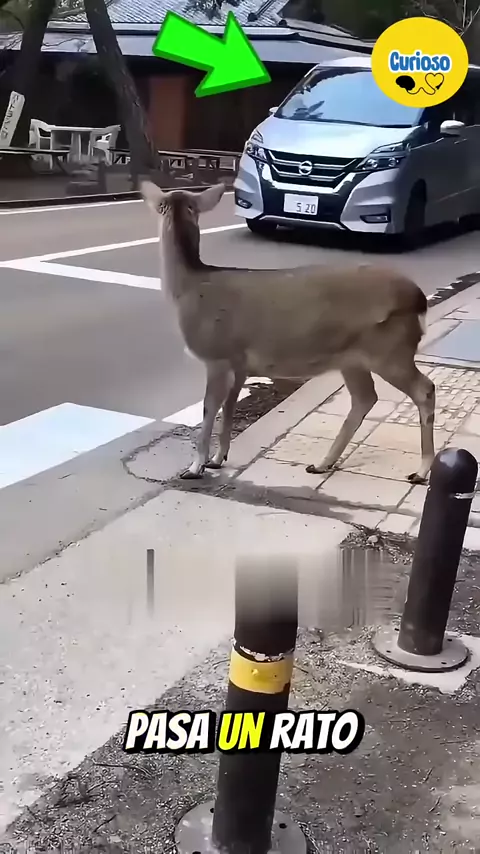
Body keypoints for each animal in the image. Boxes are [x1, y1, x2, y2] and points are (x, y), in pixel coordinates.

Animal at [141, 180, 435, 484]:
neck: (189, 288)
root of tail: (418, 300)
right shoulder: (239, 362)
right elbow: (229, 407)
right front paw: (218, 458)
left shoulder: (217, 354)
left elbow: (209, 409)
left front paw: (195, 466)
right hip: (353, 358)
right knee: (365, 398)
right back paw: (322, 463)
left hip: (390, 350)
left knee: (424, 389)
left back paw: (422, 470)